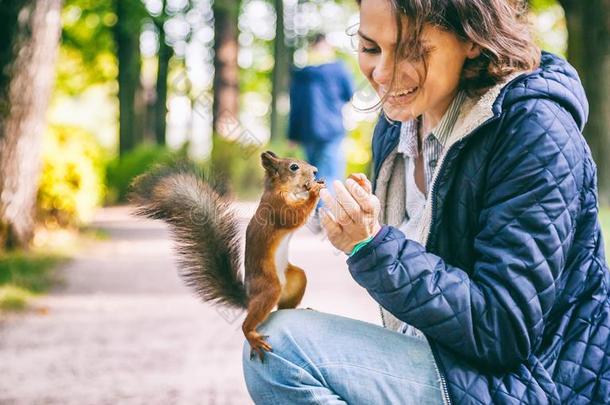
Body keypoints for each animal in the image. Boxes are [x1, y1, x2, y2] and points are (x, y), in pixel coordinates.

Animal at [129, 151, 324, 356]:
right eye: (294, 167)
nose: (315, 171)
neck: (284, 189)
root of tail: (249, 297)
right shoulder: (276, 206)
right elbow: (294, 216)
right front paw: (314, 191)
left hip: (296, 278)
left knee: (283, 307)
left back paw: (303, 309)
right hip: (269, 288)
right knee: (252, 321)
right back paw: (253, 337)